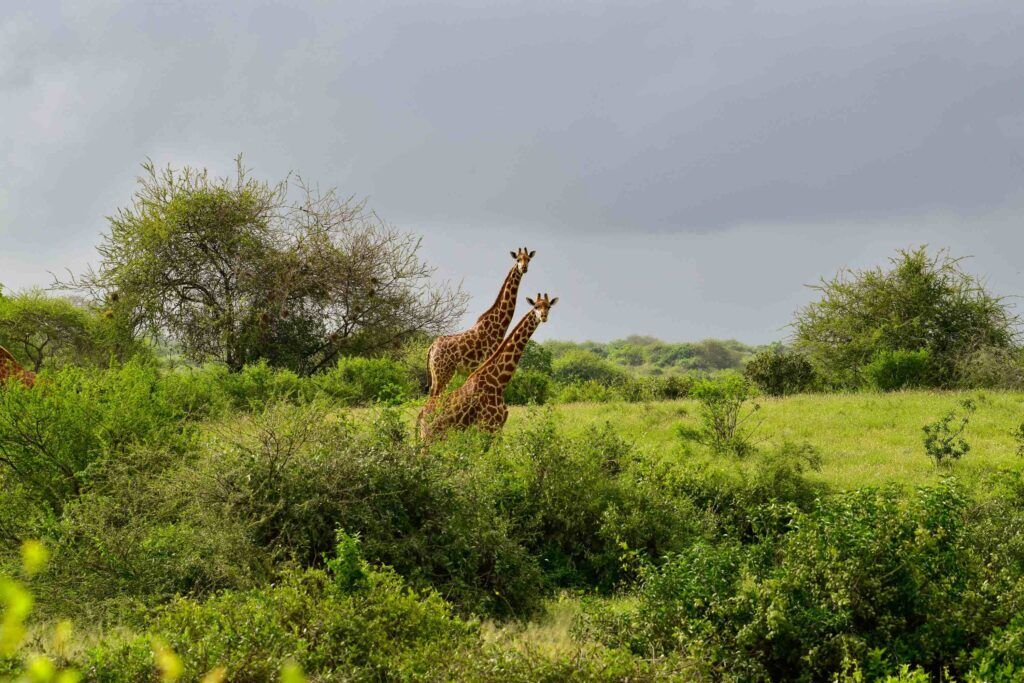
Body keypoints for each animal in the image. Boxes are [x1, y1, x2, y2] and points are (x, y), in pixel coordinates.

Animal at [419, 293, 557, 442]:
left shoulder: (498, 427)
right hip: (430, 435)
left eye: (549, 306)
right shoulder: (488, 427)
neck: (498, 381)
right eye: (536, 306)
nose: (543, 316)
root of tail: (421, 416)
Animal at [426, 248, 535, 397]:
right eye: (518, 259)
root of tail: (431, 348)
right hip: (443, 372)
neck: (499, 325)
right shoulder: (489, 359)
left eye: (528, 259)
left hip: (436, 373)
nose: (524, 268)